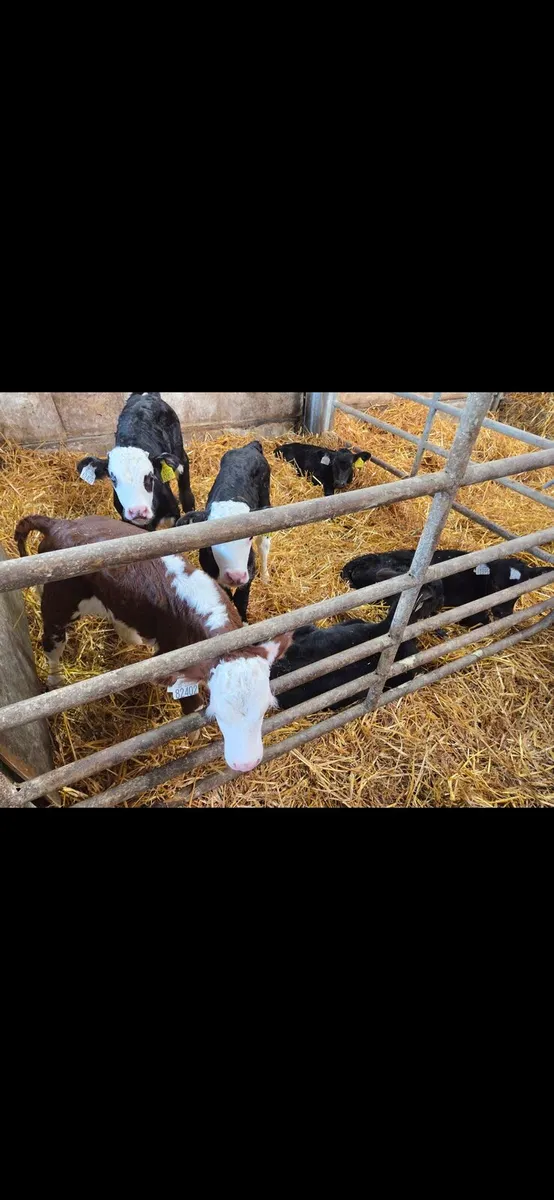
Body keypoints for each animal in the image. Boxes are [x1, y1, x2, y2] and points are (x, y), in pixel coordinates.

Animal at [15, 515, 291, 774]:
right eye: (218, 714)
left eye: (265, 708)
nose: (247, 764)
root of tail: (60, 524)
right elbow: (192, 705)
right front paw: (193, 737)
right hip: (58, 603)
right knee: (52, 644)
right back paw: (55, 680)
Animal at [77, 392, 195, 530]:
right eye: (113, 479)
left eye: (150, 477)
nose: (138, 510)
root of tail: (144, 395)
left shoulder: (172, 513)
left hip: (178, 451)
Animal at [177, 440, 271, 622]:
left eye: (248, 536)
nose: (235, 576)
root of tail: (249, 447)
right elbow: (227, 597)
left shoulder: (249, 571)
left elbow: (241, 601)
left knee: (264, 543)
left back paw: (265, 577)